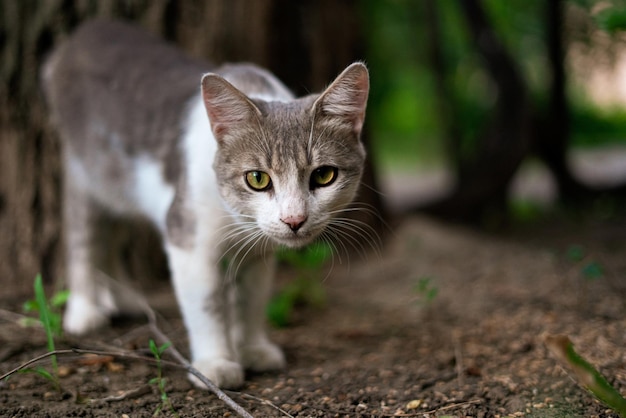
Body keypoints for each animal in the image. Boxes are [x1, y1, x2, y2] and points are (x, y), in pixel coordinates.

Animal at [42, 19, 366, 388]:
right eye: (257, 179)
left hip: (120, 189)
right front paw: (216, 363)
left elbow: (251, 300)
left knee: (116, 235)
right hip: (84, 173)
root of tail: (86, 31)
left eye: (324, 175)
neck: (234, 218)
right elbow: (207, 305)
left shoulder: (258, 253)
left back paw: (125, 299)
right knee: (83, 237)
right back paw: (84, 311)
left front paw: (252, 349)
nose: (294, 219)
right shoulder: (187, 237)